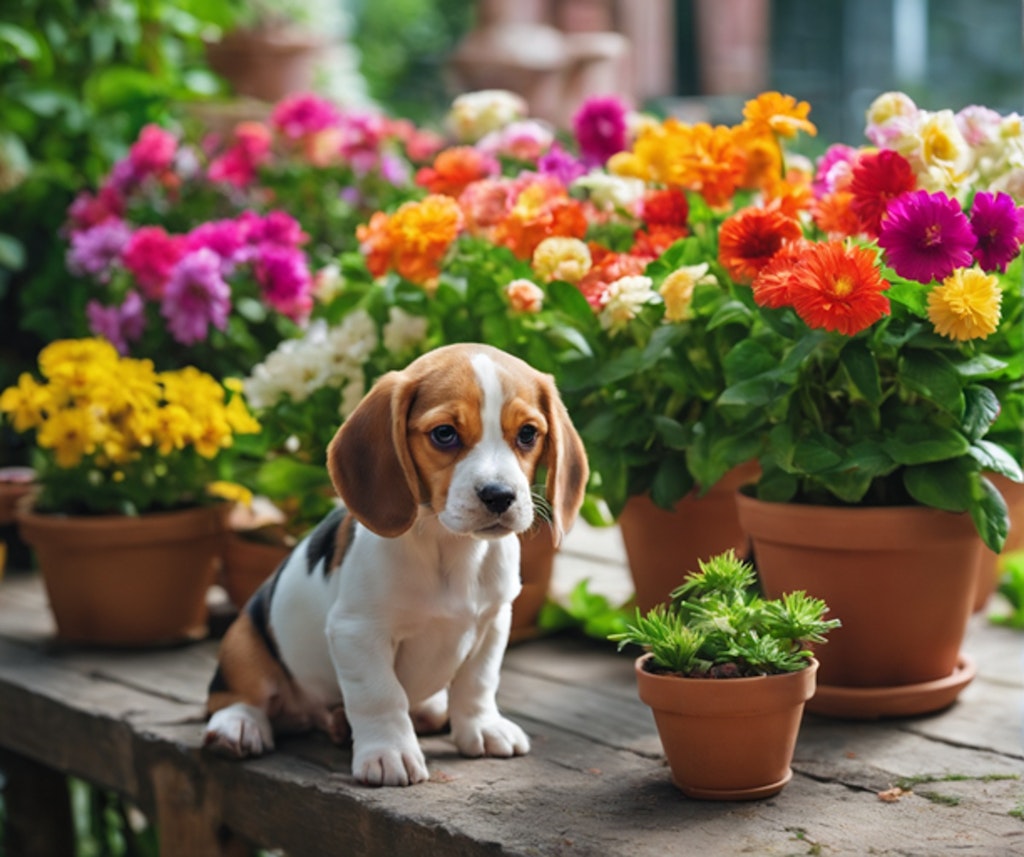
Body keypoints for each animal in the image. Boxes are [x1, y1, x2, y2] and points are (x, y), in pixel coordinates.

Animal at [203, 344, 589, 786]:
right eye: (444, 434)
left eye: (527, 433)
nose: (499, 495)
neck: (450, 547)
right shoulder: (357, 632)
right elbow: (380, 695)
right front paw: (390, 753)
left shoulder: (494, 621)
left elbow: (478, 682)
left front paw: (482, 728)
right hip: (243, 639)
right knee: (233, 695)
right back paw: (238, 725)